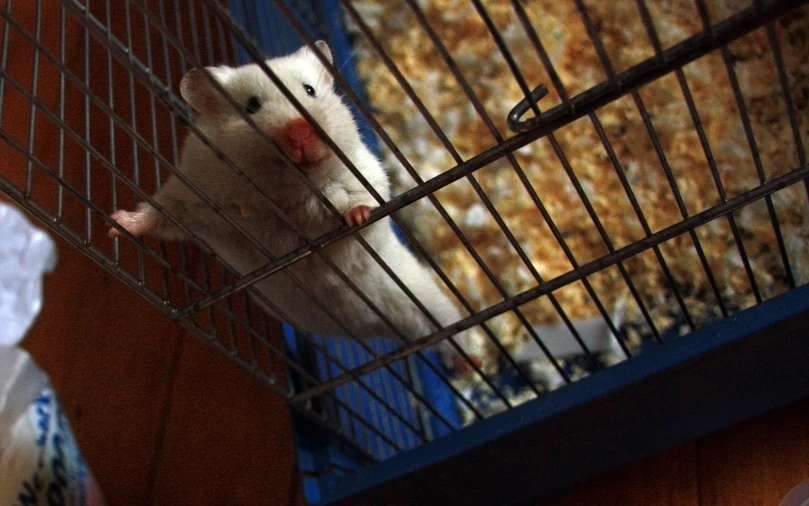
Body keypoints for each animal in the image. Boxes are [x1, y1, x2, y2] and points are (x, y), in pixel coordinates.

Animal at [110, 42, 482, 372]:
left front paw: (357, 217)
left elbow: (358, 201)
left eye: (309, 90)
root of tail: (378, 331)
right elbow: (161, 213)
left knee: (452, 333)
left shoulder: (360, 175)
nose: (300, 133)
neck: (286, 190)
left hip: (427, 301)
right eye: (252, 106)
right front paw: (115, 225)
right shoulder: (195, 193)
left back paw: (471, 363)